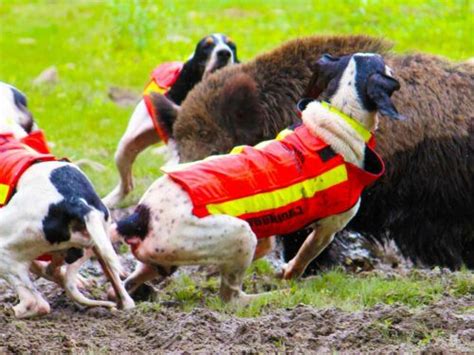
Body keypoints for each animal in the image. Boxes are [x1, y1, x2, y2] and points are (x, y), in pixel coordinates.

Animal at [112, 52, 404, 306]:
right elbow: (304, 257)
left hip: (161, 260)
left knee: (125, 284)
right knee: (231, 298)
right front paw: (288, 275)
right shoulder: (328, 228)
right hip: (241, 235)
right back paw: (270, 297)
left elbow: (267, 247)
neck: (341, 117)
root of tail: (139, 216)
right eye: (383, 65)